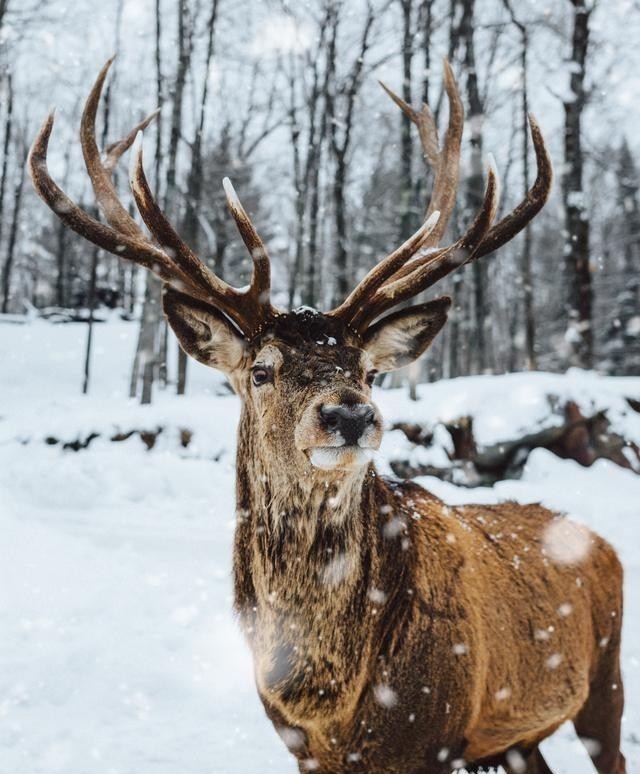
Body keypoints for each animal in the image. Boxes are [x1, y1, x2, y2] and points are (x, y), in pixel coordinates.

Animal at [30, 57, 624, 772]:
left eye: (367, 370)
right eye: (261, 371)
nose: (350, 413)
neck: (326, 700)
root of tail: (600, 541)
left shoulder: (436, 736)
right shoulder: (300, 748)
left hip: (607, 681)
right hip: (519, 737)